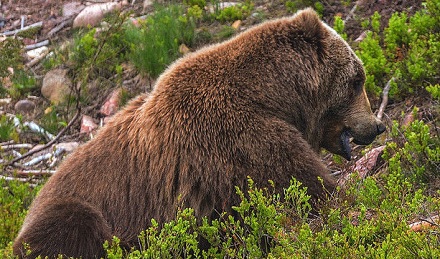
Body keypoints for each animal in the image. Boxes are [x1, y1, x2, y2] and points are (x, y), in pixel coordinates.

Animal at [12, 8, 384, 259]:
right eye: (358, 80)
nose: (377, 126)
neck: (277, 96)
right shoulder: (238, 140)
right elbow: (305, 191)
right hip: (77, 210)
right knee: (75, 226)